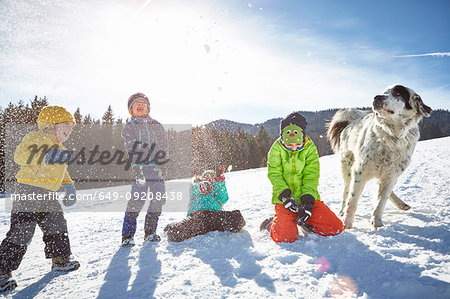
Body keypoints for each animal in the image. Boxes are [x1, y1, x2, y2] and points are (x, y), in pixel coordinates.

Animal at [326, 84, 432, 230]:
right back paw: (341, 212)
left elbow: (381, 201)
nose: (376, 97)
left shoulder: (392, 175)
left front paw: (377, 224)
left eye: (397, 93)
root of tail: (349, 123)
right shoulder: (360, 171)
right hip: (347, 167)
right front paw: (347, 225)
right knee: (346, 192)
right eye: (384, 92)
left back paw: (401, 204)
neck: (392, 135)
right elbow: (352, 200)